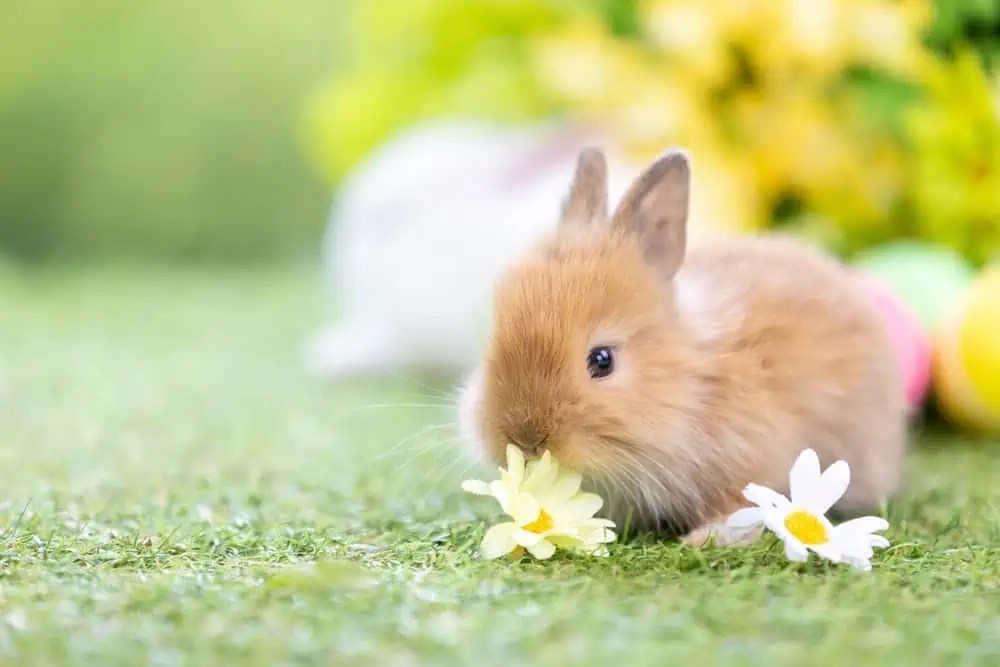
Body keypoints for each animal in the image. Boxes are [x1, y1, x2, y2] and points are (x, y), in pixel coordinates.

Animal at [457, 146, 908, 546]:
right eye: (493, 338)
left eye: (602, 360)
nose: (525, 440)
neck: (690, 390)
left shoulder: (752, 459)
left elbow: (740, 505)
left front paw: (710, 538)